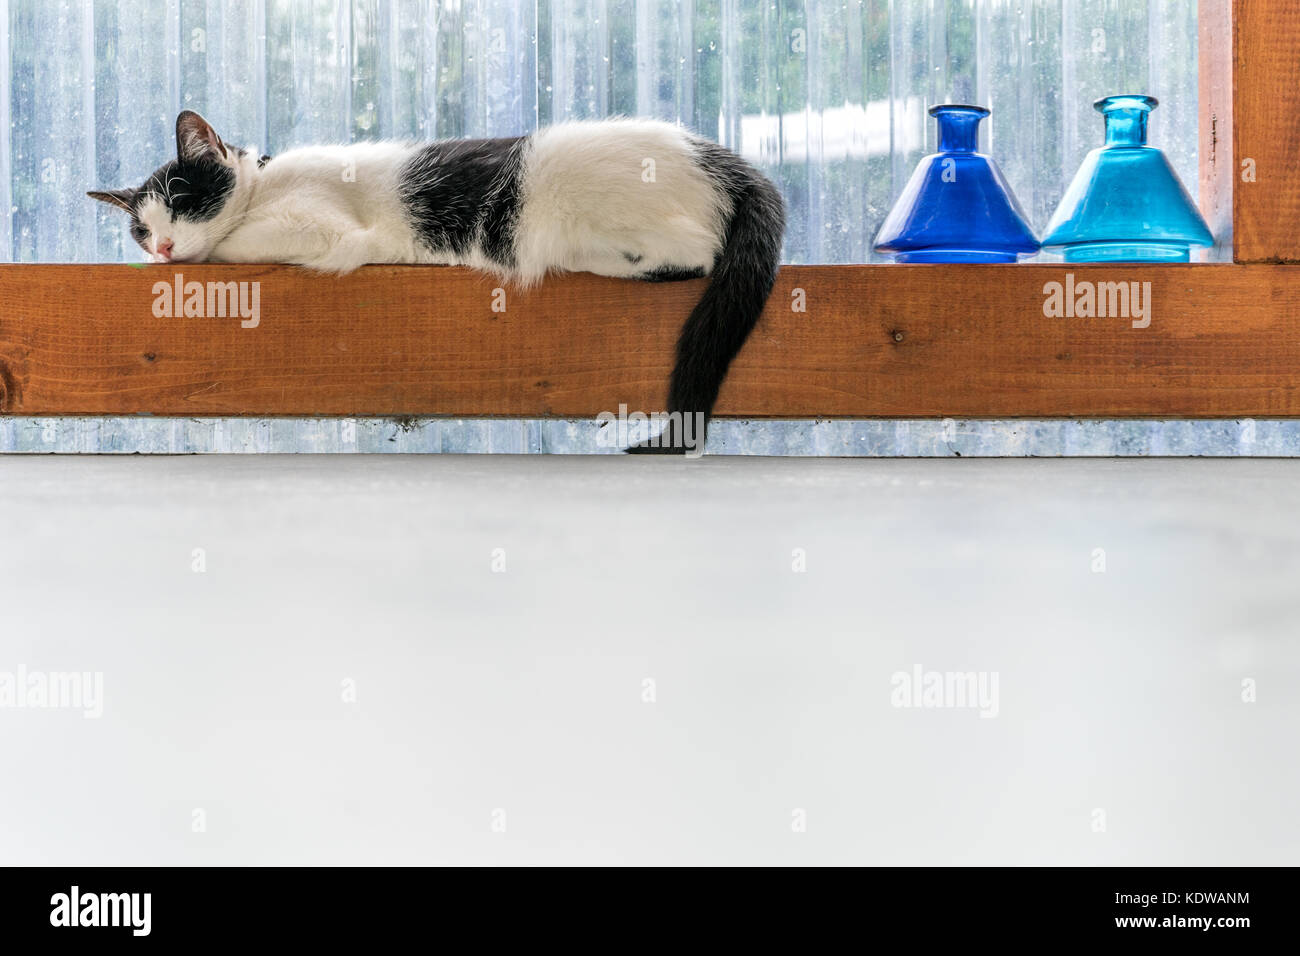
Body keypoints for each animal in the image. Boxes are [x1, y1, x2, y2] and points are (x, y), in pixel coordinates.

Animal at [94, 110, 780, 455]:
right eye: (140, 228)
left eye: (181, 203)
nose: (161, 246)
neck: (265, 185)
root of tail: (725, 161)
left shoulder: (327, 231)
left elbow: (235, 243)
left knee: (697, 250)